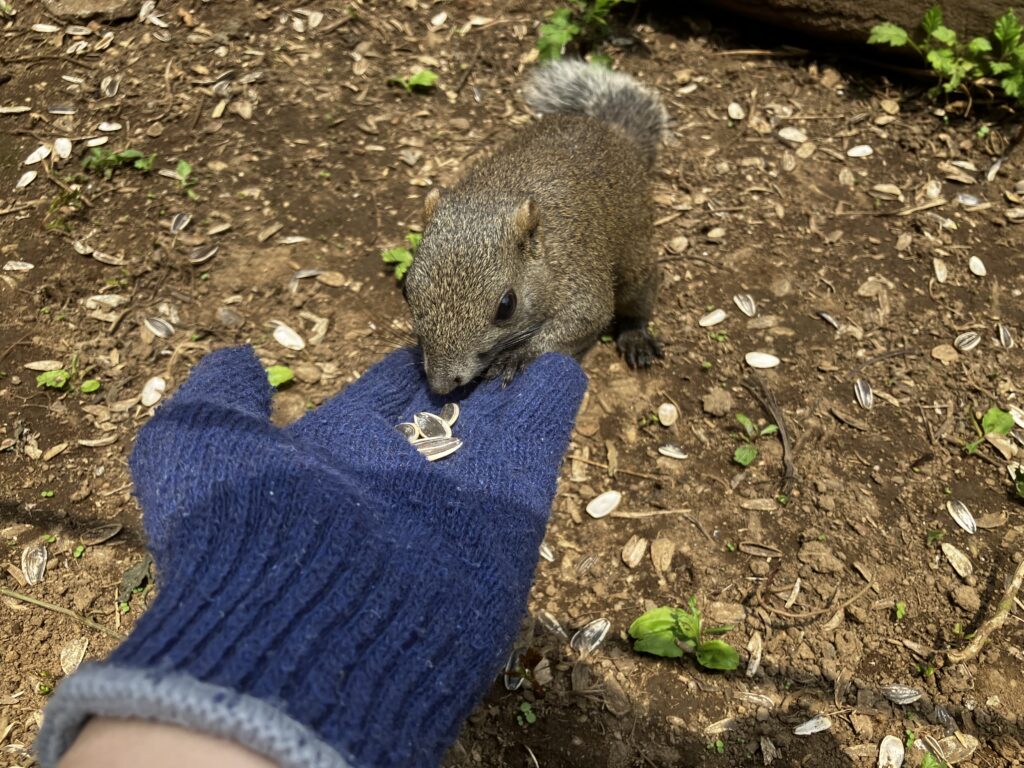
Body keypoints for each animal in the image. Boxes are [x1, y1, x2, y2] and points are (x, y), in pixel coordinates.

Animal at [403, 58, 667, 397]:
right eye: (407, 289)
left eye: (506, 306)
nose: (441, 384)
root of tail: (616, 133)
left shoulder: (580, 276)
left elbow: (582, 319)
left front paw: (517, 356)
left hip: (635, 251)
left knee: (640, 296)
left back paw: (636, 336)